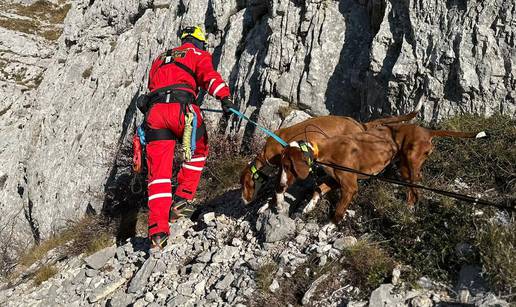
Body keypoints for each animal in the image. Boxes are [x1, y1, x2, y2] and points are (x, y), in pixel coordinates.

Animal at [278, 124, 484, 223]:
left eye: (287, 166)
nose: (280, 185)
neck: (323, 150)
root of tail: (427, 130)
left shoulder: (350, 187)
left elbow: (338, 211)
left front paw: (329, 226)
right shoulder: (335, 180)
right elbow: (317, 190)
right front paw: (308, 207)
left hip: (410, 161)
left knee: (414, 190)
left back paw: (408, 210)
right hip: (404, 166)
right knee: (418, 180)